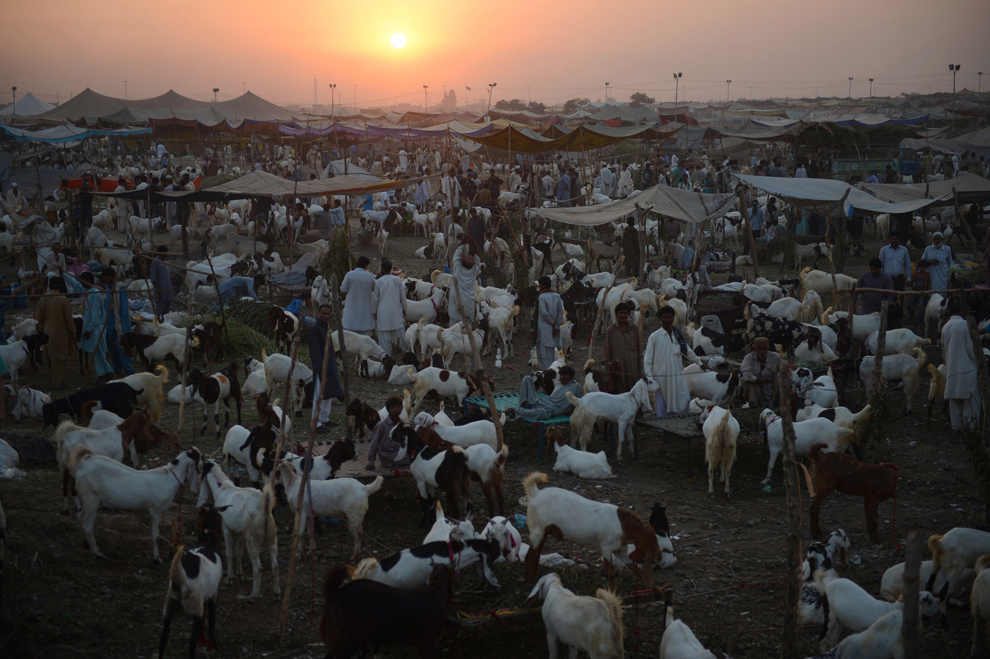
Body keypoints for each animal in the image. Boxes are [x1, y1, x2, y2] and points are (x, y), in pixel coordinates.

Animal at [67, 446, 202, 564]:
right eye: (199, 457)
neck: (168, 478)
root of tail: (82, 465)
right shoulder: (155, 510)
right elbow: (155, 535)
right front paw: (157, 559)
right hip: (91, 499)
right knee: (88, 526)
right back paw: (98, 553)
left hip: (87, 500)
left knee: (80, 517)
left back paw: (85, 543)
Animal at [159, 506, 223, 659]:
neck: (210, 541)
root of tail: (179, 581)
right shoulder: (213, 595)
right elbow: (211, 619)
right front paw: (213, 643)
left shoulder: (204, 598)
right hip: (194, 607)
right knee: (192, 641)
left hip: (169, 606)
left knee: (163, 637)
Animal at [197, 462, 280, 600]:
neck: (221, 487)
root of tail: (265, 509)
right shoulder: (240, 532)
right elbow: (238, 552)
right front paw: (240, 573)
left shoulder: (226, 529)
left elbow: (229, 553)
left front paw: (230, 578)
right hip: (272, 538)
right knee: (275, 565)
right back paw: (277, 593)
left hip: (252, 539)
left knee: (258, 567)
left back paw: (253, 595)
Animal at [524, 474, 664, 592]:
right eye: (654, 551)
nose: (659, 560)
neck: (623, 525)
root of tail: (535, 493)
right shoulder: (606, 547)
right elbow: (611, 572)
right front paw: (614, 594)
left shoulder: (621, 550)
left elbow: (636, 570)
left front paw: (658, 591)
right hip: (537, 530)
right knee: (529, 557)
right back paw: (528, 585)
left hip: (543, 532)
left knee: (536, 555)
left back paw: (535, 579)